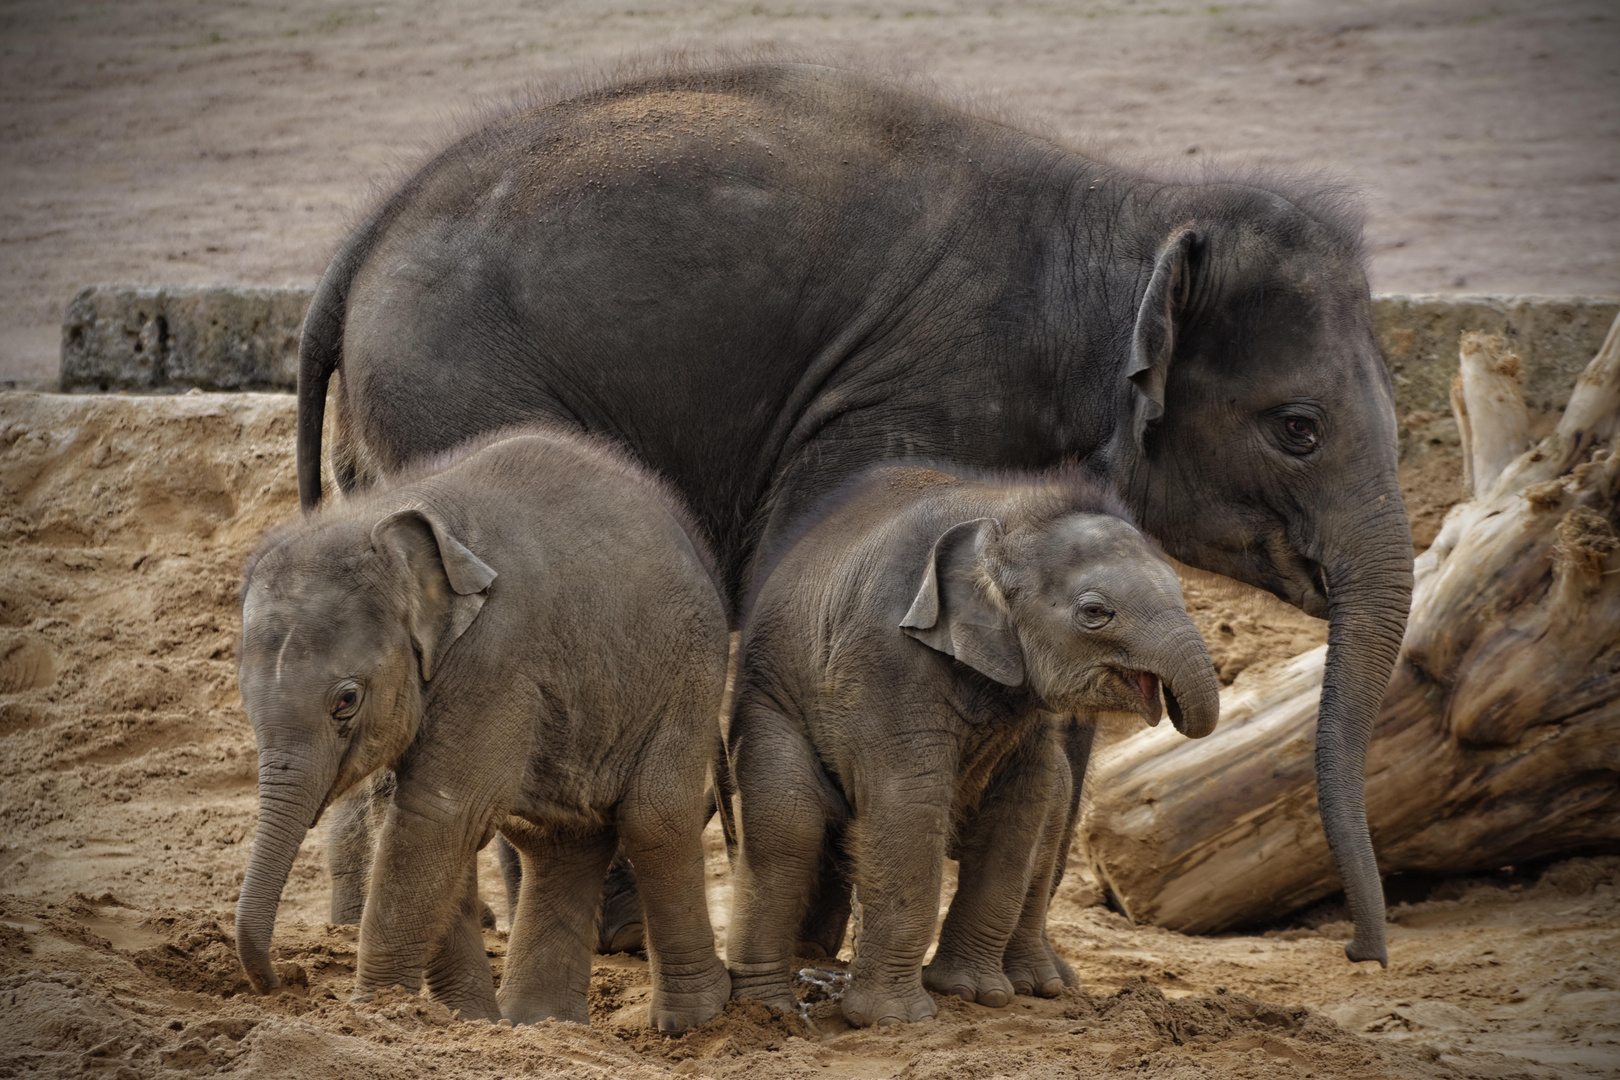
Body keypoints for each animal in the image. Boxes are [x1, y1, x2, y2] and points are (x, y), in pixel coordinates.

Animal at [233, 424, 729, 1029]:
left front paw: (378, 1013)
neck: (385, 516)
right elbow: (424, 818)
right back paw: (538, 1024)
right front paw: (466, 1021)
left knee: (653, 818)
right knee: (560, 841)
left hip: (688, 672)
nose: (283, 980)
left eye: (346, 701)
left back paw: (691, 1022)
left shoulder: (495, 653)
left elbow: (436, 816)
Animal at [298, 63, 1412, 965]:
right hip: (455, 392)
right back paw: (600, 940)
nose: (1361, 950)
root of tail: (360, 241)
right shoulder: (903, 406)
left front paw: (1035, 983)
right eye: (1300, 428)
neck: (1128, 211)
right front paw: (817, 955)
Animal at [725, 459, 1218, 1029]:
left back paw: (1038, 986)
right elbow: (908, 807)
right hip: (772, 700)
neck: (1006, 512)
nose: (1173, 706)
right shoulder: (886, 660)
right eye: (1095, 612)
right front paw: (895, 1020)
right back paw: (767, 1009)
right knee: (788, 823)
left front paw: (975, 994)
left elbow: (1021, 812)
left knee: (1051, 811)